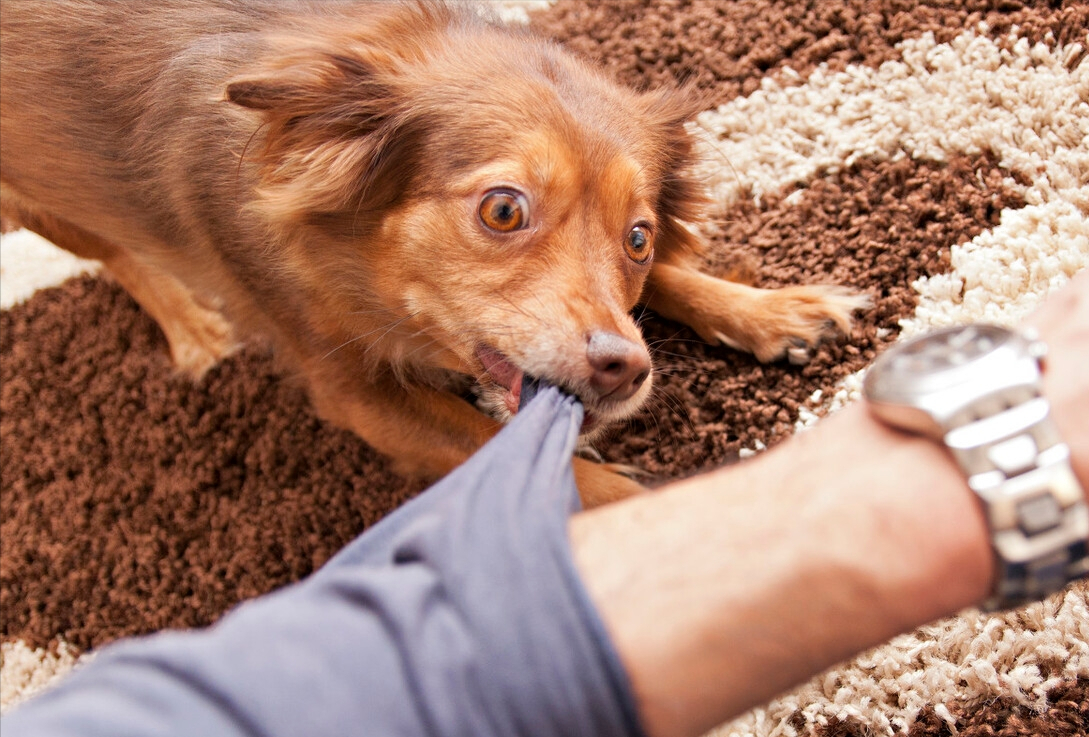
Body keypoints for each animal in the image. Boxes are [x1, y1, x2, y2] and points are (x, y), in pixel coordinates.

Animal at [0, 0, 866, 505]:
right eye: (503, 209)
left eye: (639, 237)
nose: (625, 367)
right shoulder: (355, 393)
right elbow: (522, 457)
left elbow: (674, 286)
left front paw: (766, 310)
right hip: (37, 200)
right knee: (116, 254)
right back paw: (190, 325)